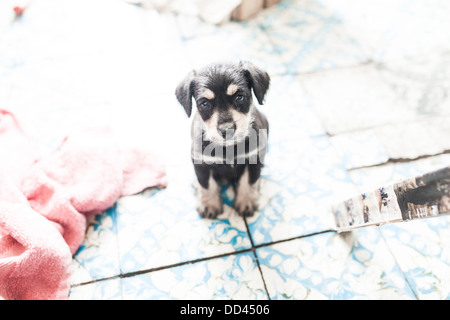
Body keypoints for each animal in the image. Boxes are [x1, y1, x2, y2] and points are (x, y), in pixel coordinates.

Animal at [174, 61, 268, 219]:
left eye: (239, 97)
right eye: (205, 104)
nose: (226, 130)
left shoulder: (253, 159)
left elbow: (248, 182)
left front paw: (246, 202)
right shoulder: (201, 163)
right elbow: (206, 184)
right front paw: (209, 205)